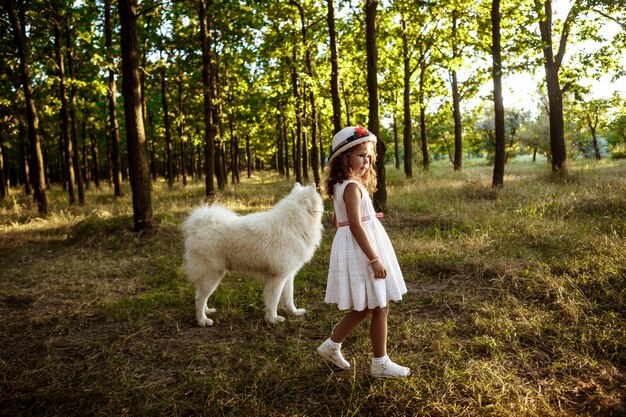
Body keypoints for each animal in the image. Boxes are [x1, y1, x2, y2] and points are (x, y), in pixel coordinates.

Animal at [180, 182, 322, 324]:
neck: (294, 224)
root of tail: (199, 226)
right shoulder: (277, 277)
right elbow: (274, 300)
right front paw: (273, 319)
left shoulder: (288, 275)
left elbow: (289, 298)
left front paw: (294, 312)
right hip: (211, 274)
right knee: (199, 298)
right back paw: (202, 320)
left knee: (200, 295)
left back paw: (207, 311)